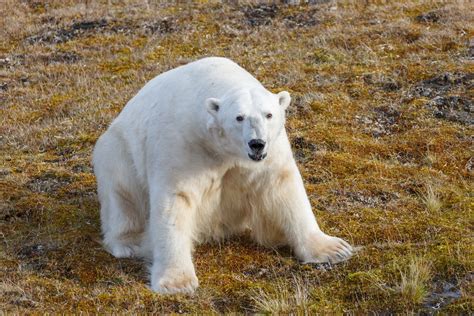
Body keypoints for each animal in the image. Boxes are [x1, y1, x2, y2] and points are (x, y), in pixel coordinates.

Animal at [92, 56, 352, 294]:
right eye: (239, 117)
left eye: (268, 114)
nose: (257, 143)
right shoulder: (181, 146)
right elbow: (175, 200)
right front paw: (177, 282)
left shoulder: (269, 154)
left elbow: (283, 187)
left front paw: (335, 249)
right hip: (117, 154)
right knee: (122, 198)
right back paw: (130, 243)